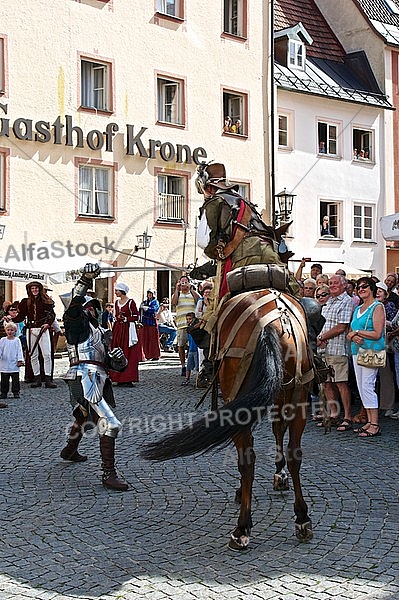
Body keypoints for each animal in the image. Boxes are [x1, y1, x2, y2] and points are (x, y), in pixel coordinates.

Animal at [141, 224, 316, 548]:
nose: (194, 273)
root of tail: (275, 321)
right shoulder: (281, 394)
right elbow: (278, 433)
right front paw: (280, 476)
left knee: (247, 458)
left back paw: (242, 527)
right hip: (298, 395)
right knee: (294, 451)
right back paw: (301, 517)